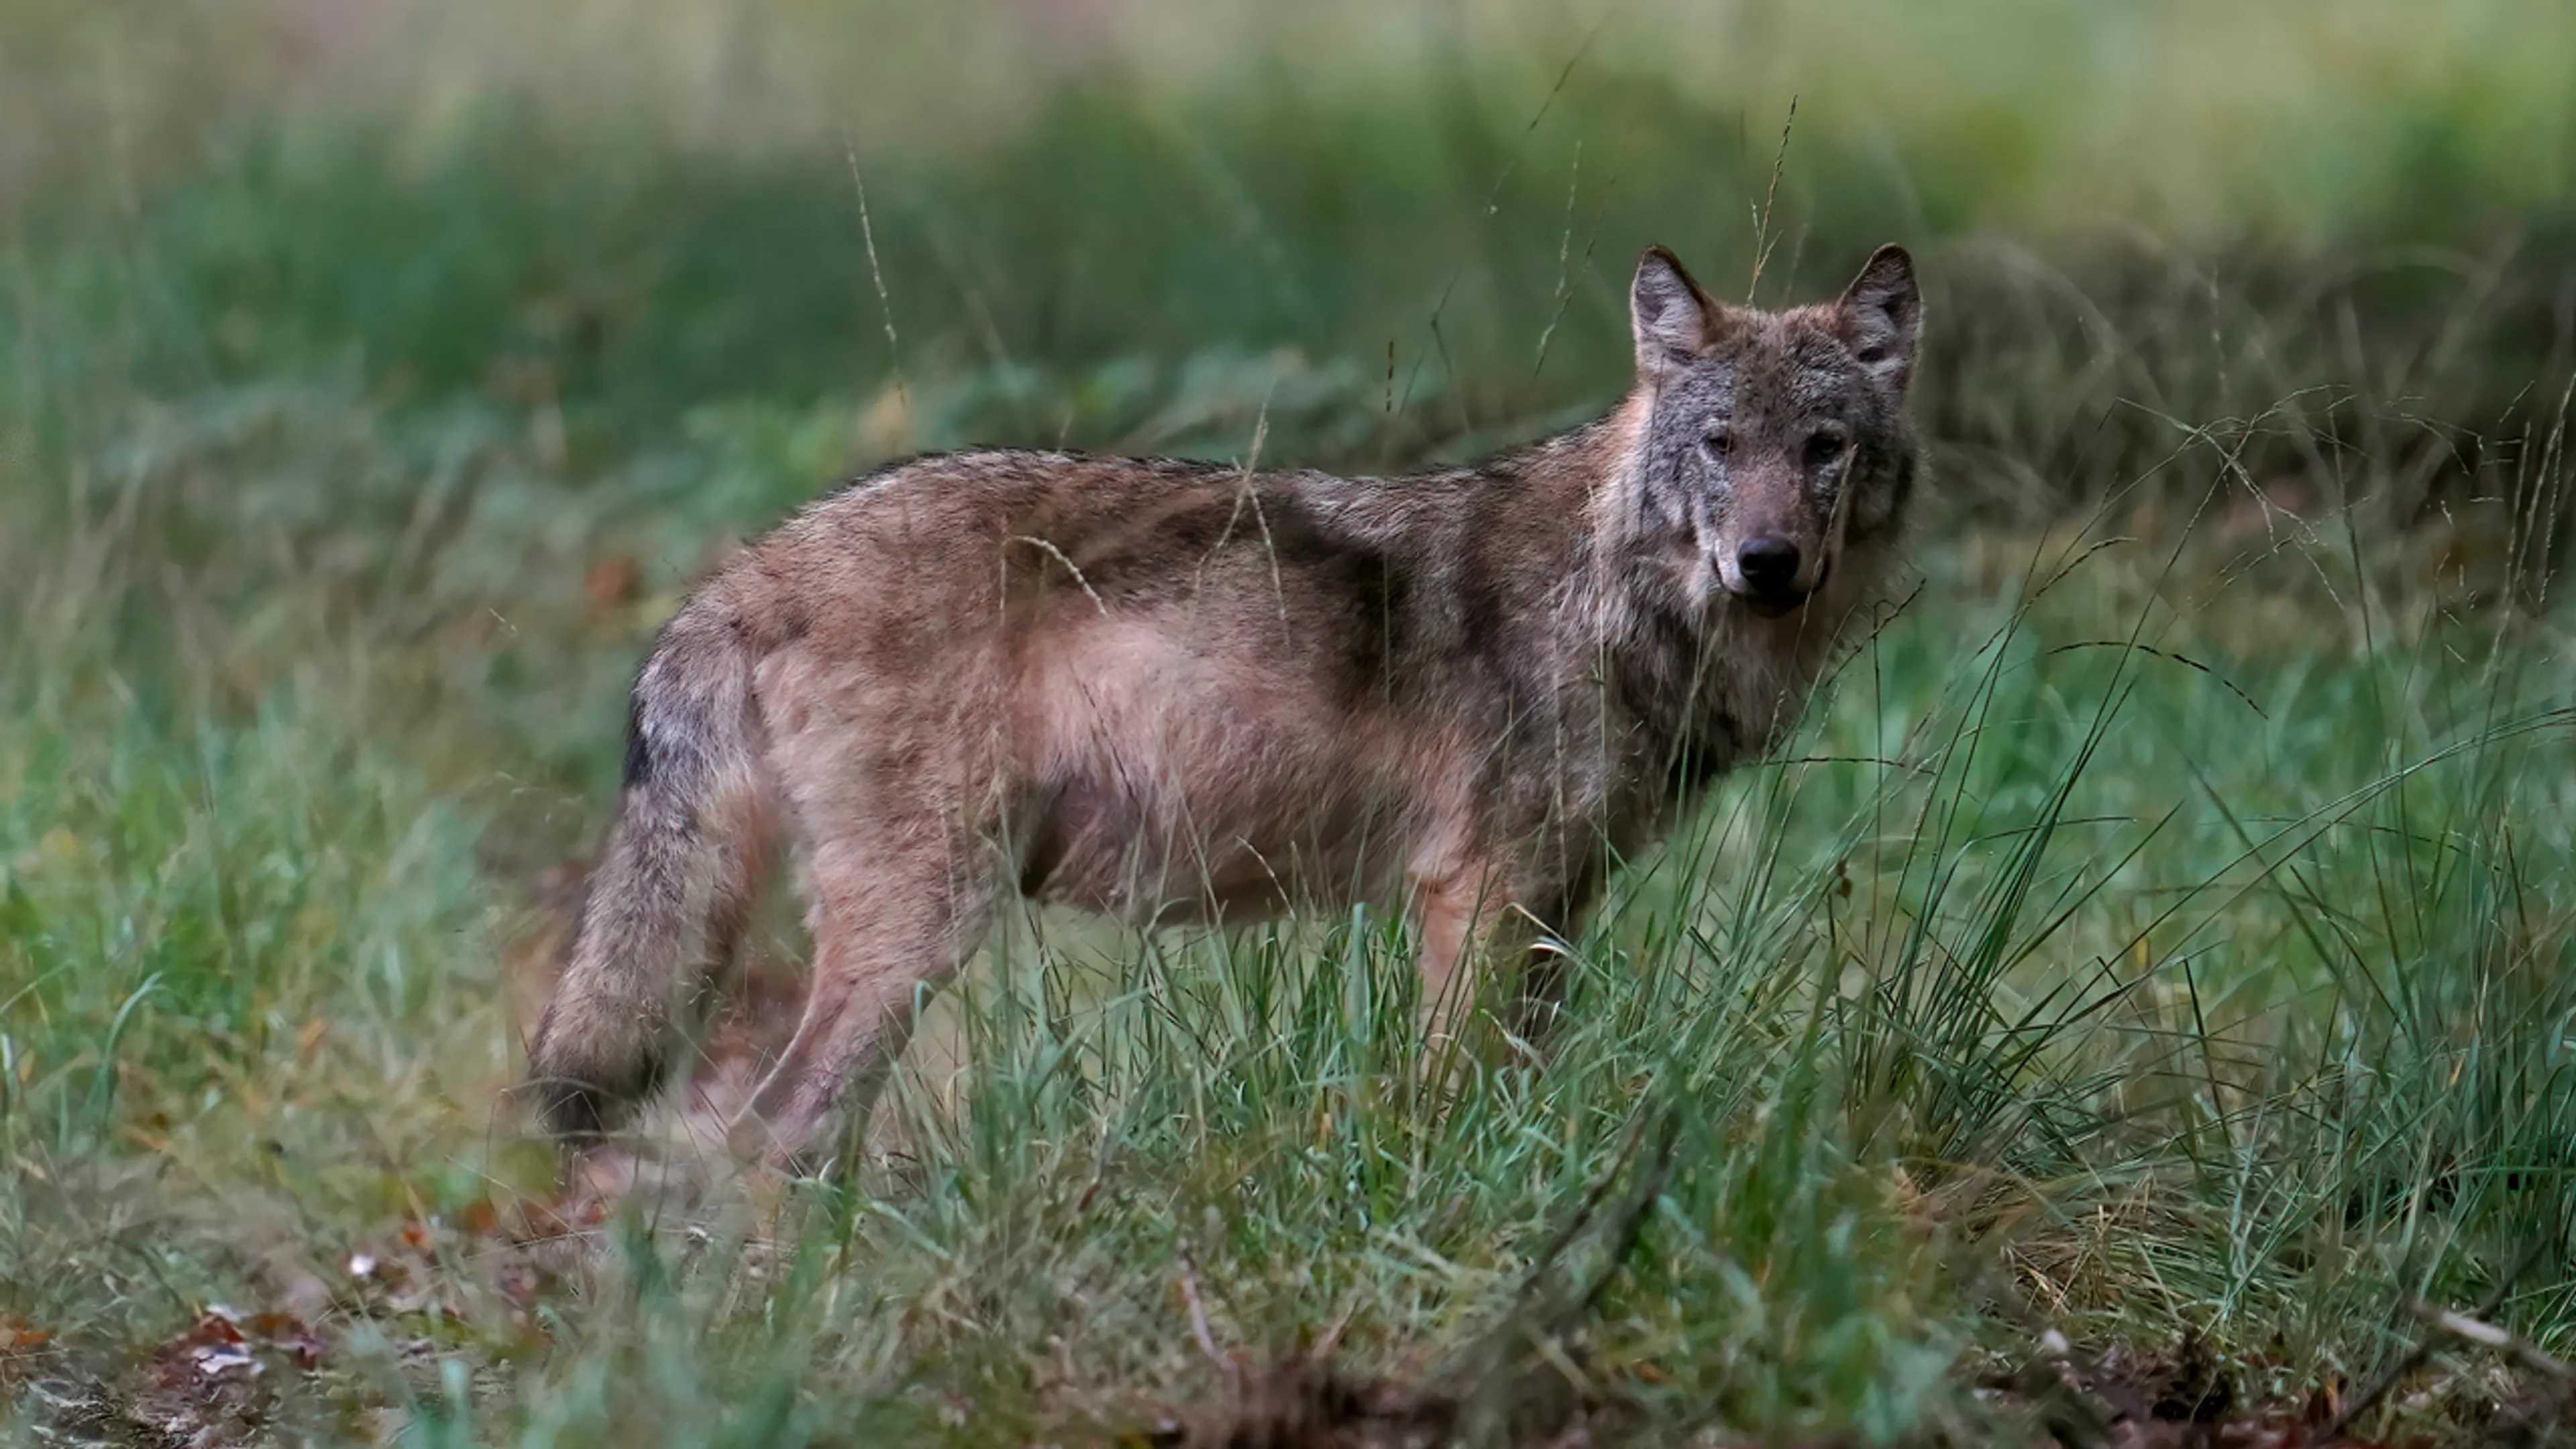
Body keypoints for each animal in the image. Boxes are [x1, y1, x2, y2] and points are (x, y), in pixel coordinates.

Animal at [528, 243, 1923, 1166]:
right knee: (771, 1135)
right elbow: (1449, 1098)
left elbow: (1517, 1087)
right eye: (1721, 447)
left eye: (1823, 450)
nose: (1768, 564)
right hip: (921, 930)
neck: (1614, 595)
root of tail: (754, 564)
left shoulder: (1557, 906)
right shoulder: (1477, 894)